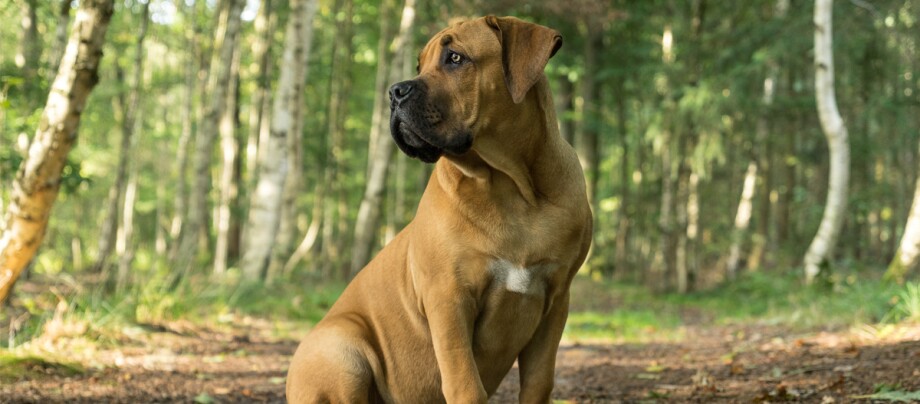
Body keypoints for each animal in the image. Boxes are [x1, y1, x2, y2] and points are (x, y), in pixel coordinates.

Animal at [284, 15, 592, 404]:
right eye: (420, 66)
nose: (395, 92)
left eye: (455, 58)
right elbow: (465, 384)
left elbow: (538, 382)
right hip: (342, 351)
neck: (512, 186)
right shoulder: (449, 298)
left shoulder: (555, 300)